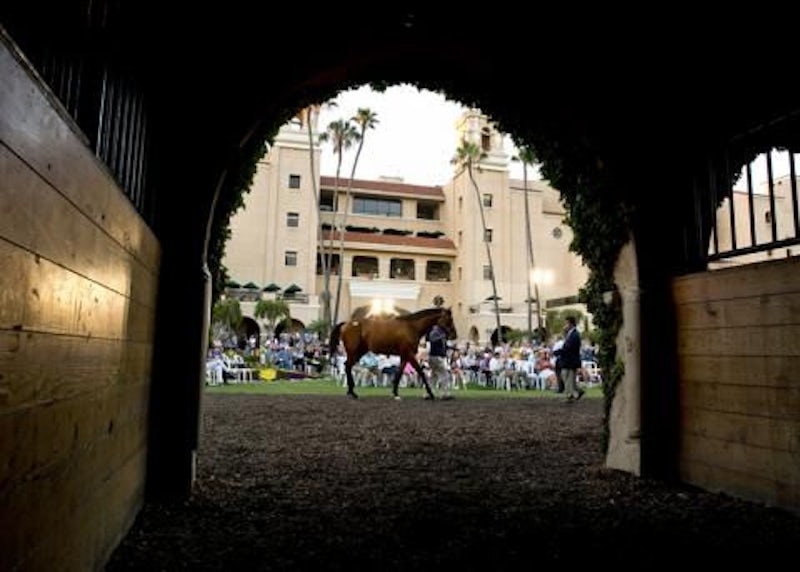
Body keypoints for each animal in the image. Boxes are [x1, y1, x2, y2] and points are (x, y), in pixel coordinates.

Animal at [329, 307, 457, 399]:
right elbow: (420, 372)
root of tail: (346, 324)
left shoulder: (404, 355)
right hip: (353, 351)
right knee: (347, 366)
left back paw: (351, 391)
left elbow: (399, 373)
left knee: (347, 366)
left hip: (360, 351)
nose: (454, 335)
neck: (411, 327)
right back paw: (352, 392)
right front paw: (430, 394)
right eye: (449, 319)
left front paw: (395, 393)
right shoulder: (409, 354)